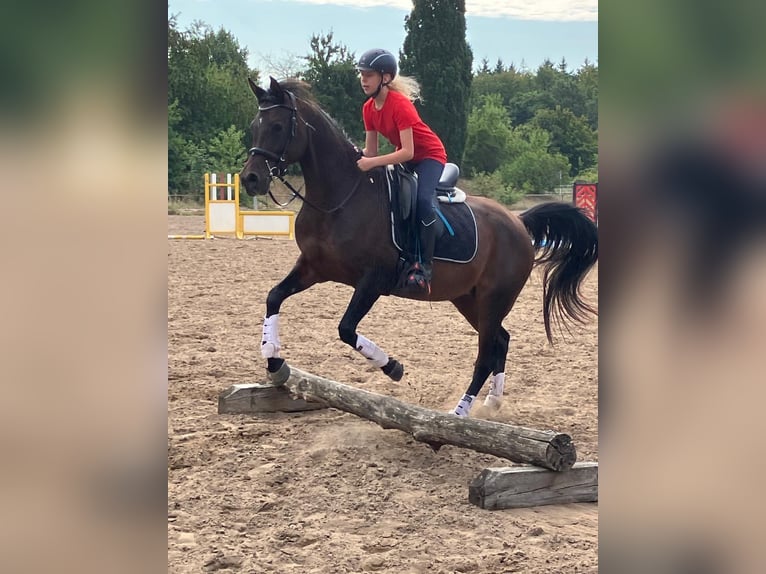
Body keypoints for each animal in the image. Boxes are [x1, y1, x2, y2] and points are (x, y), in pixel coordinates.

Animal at [240, 77, 597, 417]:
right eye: (255, 126)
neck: (338, 199)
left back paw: (459, 414)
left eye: (278, 126)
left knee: (486, 353)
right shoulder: (313, 267)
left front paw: (392, 367)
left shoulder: (372, 280)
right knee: (501, 341)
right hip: (468, 299)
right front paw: (273, 360)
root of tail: (519, 222)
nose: (250, 179)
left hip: (494, 298)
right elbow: (274, 297)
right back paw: (491, 404)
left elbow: (346, 328)